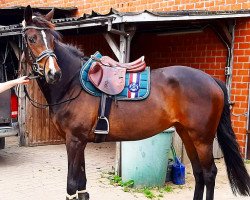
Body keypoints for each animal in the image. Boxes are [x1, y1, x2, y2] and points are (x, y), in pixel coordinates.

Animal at [22, 5, 250, 200]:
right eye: (32, 38)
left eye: (53, 40)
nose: (54, 73)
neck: (72, 83)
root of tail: (212, 80)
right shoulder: (80, 142)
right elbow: (82, 186)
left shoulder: (74, 141)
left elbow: (71, 185)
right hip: (187, 135)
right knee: (199, 173)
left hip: (202, 138)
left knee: (209, 173)